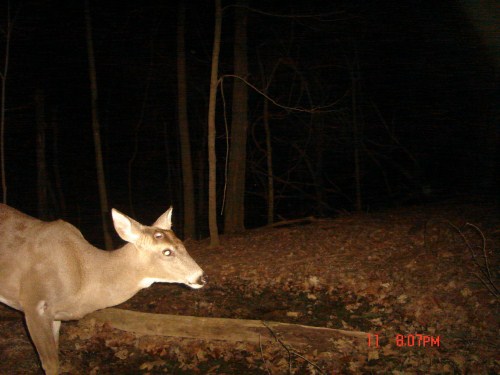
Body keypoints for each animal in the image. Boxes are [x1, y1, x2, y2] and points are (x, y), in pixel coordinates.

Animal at [0, 204, 207, 374]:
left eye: (182, 244)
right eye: (167, 251)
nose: (201, 277)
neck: (82, 277)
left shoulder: (54, 315)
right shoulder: (34, 304)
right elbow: (49, 364)